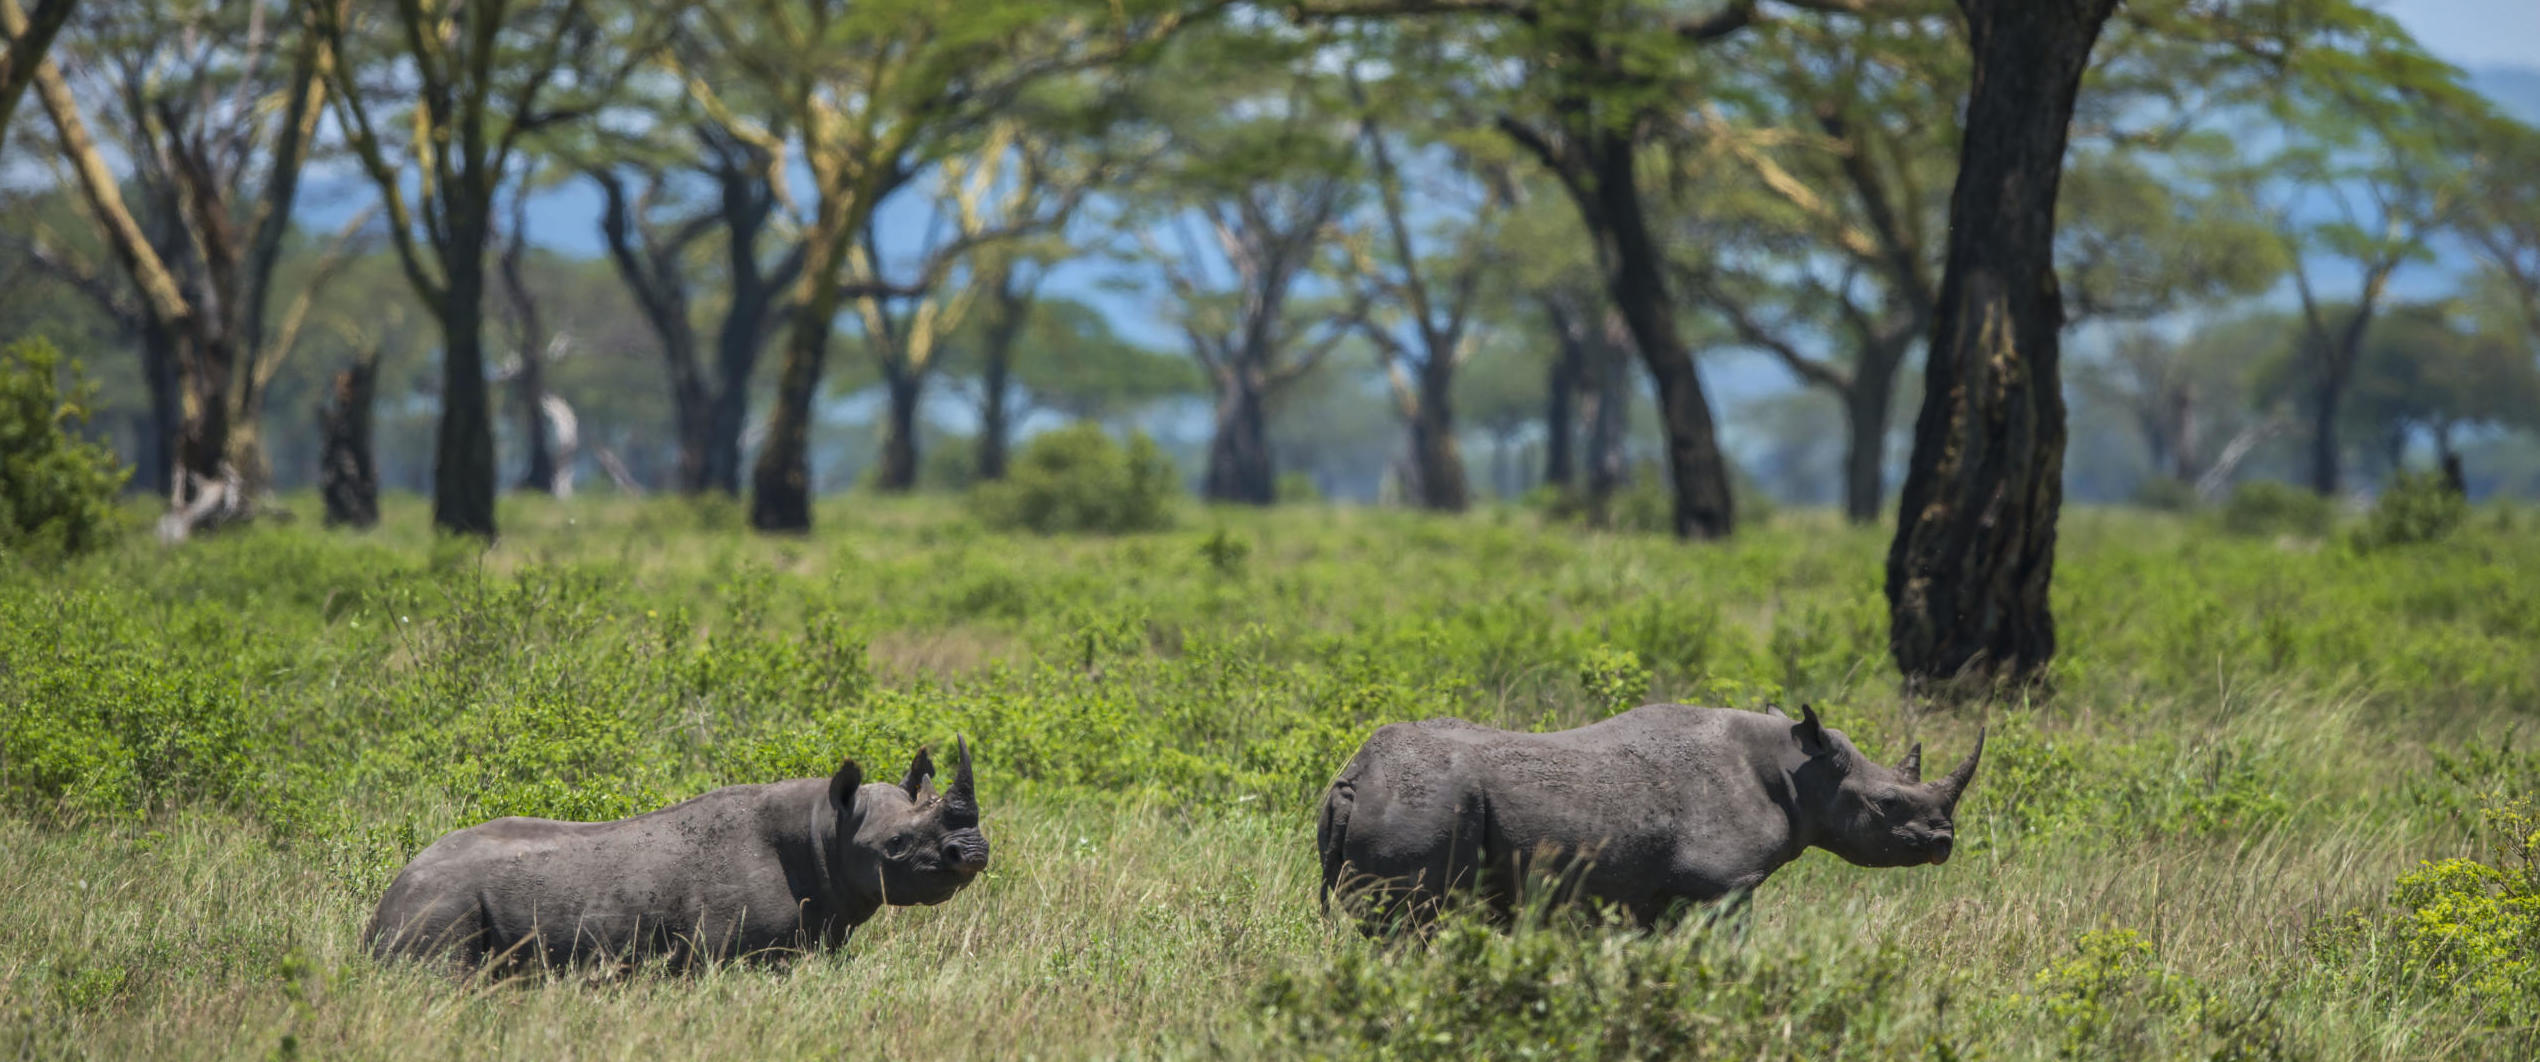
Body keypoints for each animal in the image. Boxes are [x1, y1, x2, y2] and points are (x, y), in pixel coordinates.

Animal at [366, 738, 989, 970]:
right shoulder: (728, 952)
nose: (975, 852)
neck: (825, 832)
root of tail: (381, 905)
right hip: (438, 900)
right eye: (896, 845)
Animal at [1316, 704, 1982, 932]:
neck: (1800, 771)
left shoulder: (1648, 893)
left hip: (1400, 801)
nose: (1943, 840)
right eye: (1888, 804)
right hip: (1422, 803)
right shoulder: (1721, 885)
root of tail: (1355, 779)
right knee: (1411, 931)